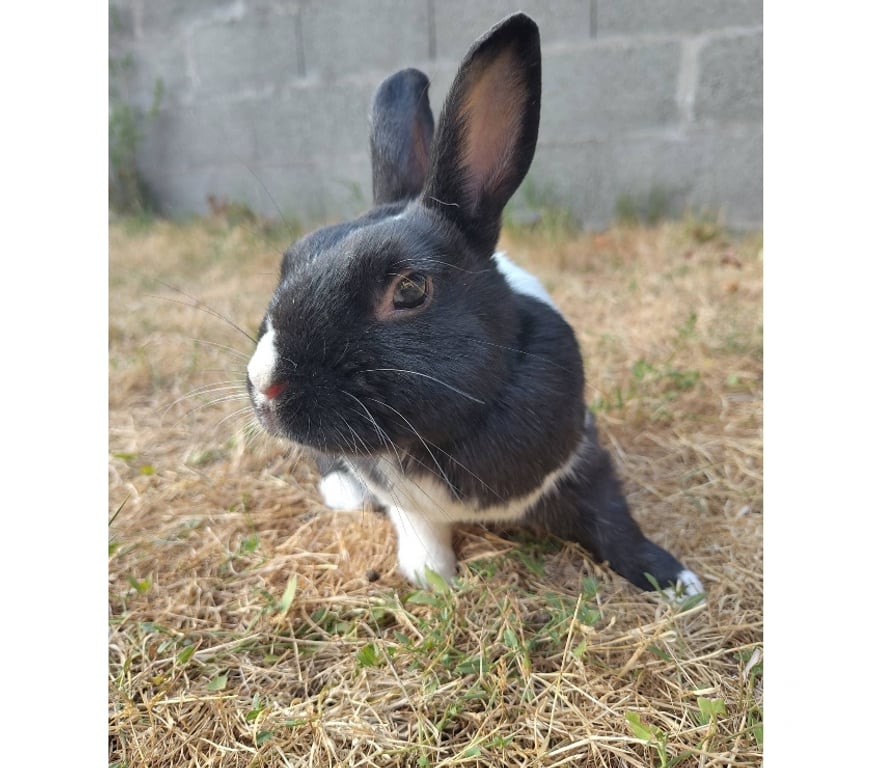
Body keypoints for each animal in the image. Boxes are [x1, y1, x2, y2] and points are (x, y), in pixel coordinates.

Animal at [246, 13, 702, 597]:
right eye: (290, 261)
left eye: (410, 290)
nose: (264, 385)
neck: (443, 435)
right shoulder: (407, 504)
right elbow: (420, 532)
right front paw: (434, 583)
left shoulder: (585, 459)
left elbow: (615, 522)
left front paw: (675, 580)